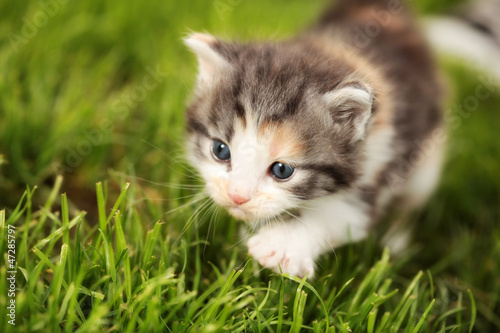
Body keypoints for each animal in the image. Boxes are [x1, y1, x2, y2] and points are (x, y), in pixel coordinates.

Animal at [184, 0, 446, 278]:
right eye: (220, 150)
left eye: (282, 170)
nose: (236, 197)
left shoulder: (380, 162)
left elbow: (341, 214)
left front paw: (280, 247)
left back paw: (396, 241)